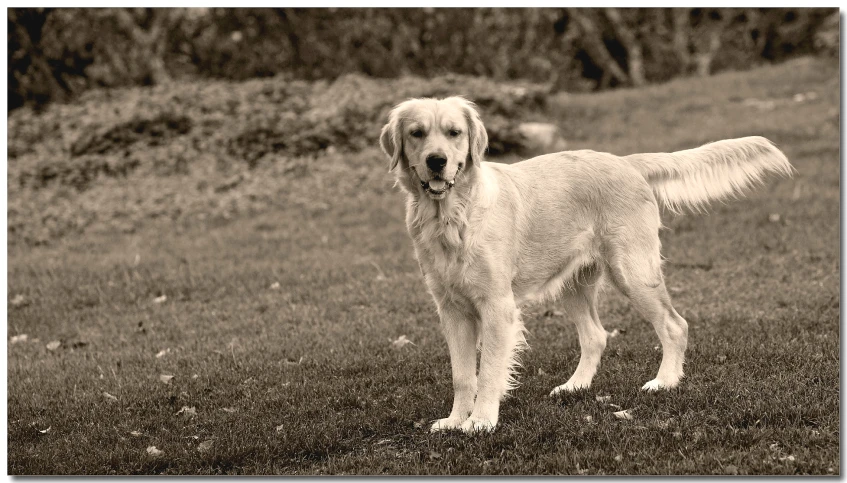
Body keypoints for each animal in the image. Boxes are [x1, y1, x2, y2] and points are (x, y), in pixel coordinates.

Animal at [380, 96, 792, 432]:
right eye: (417, 133)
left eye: (454, 133)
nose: (437, 161)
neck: (452, 217)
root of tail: (625, 161)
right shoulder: (451, 309)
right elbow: (463, 375)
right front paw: (454, 420)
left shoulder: (497, 306)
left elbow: (489, 372)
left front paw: (480, 421)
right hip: (574, 284)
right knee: (596, 335)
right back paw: (574, 386)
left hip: (632, 272)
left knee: (675, 325)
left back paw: (665, 382)